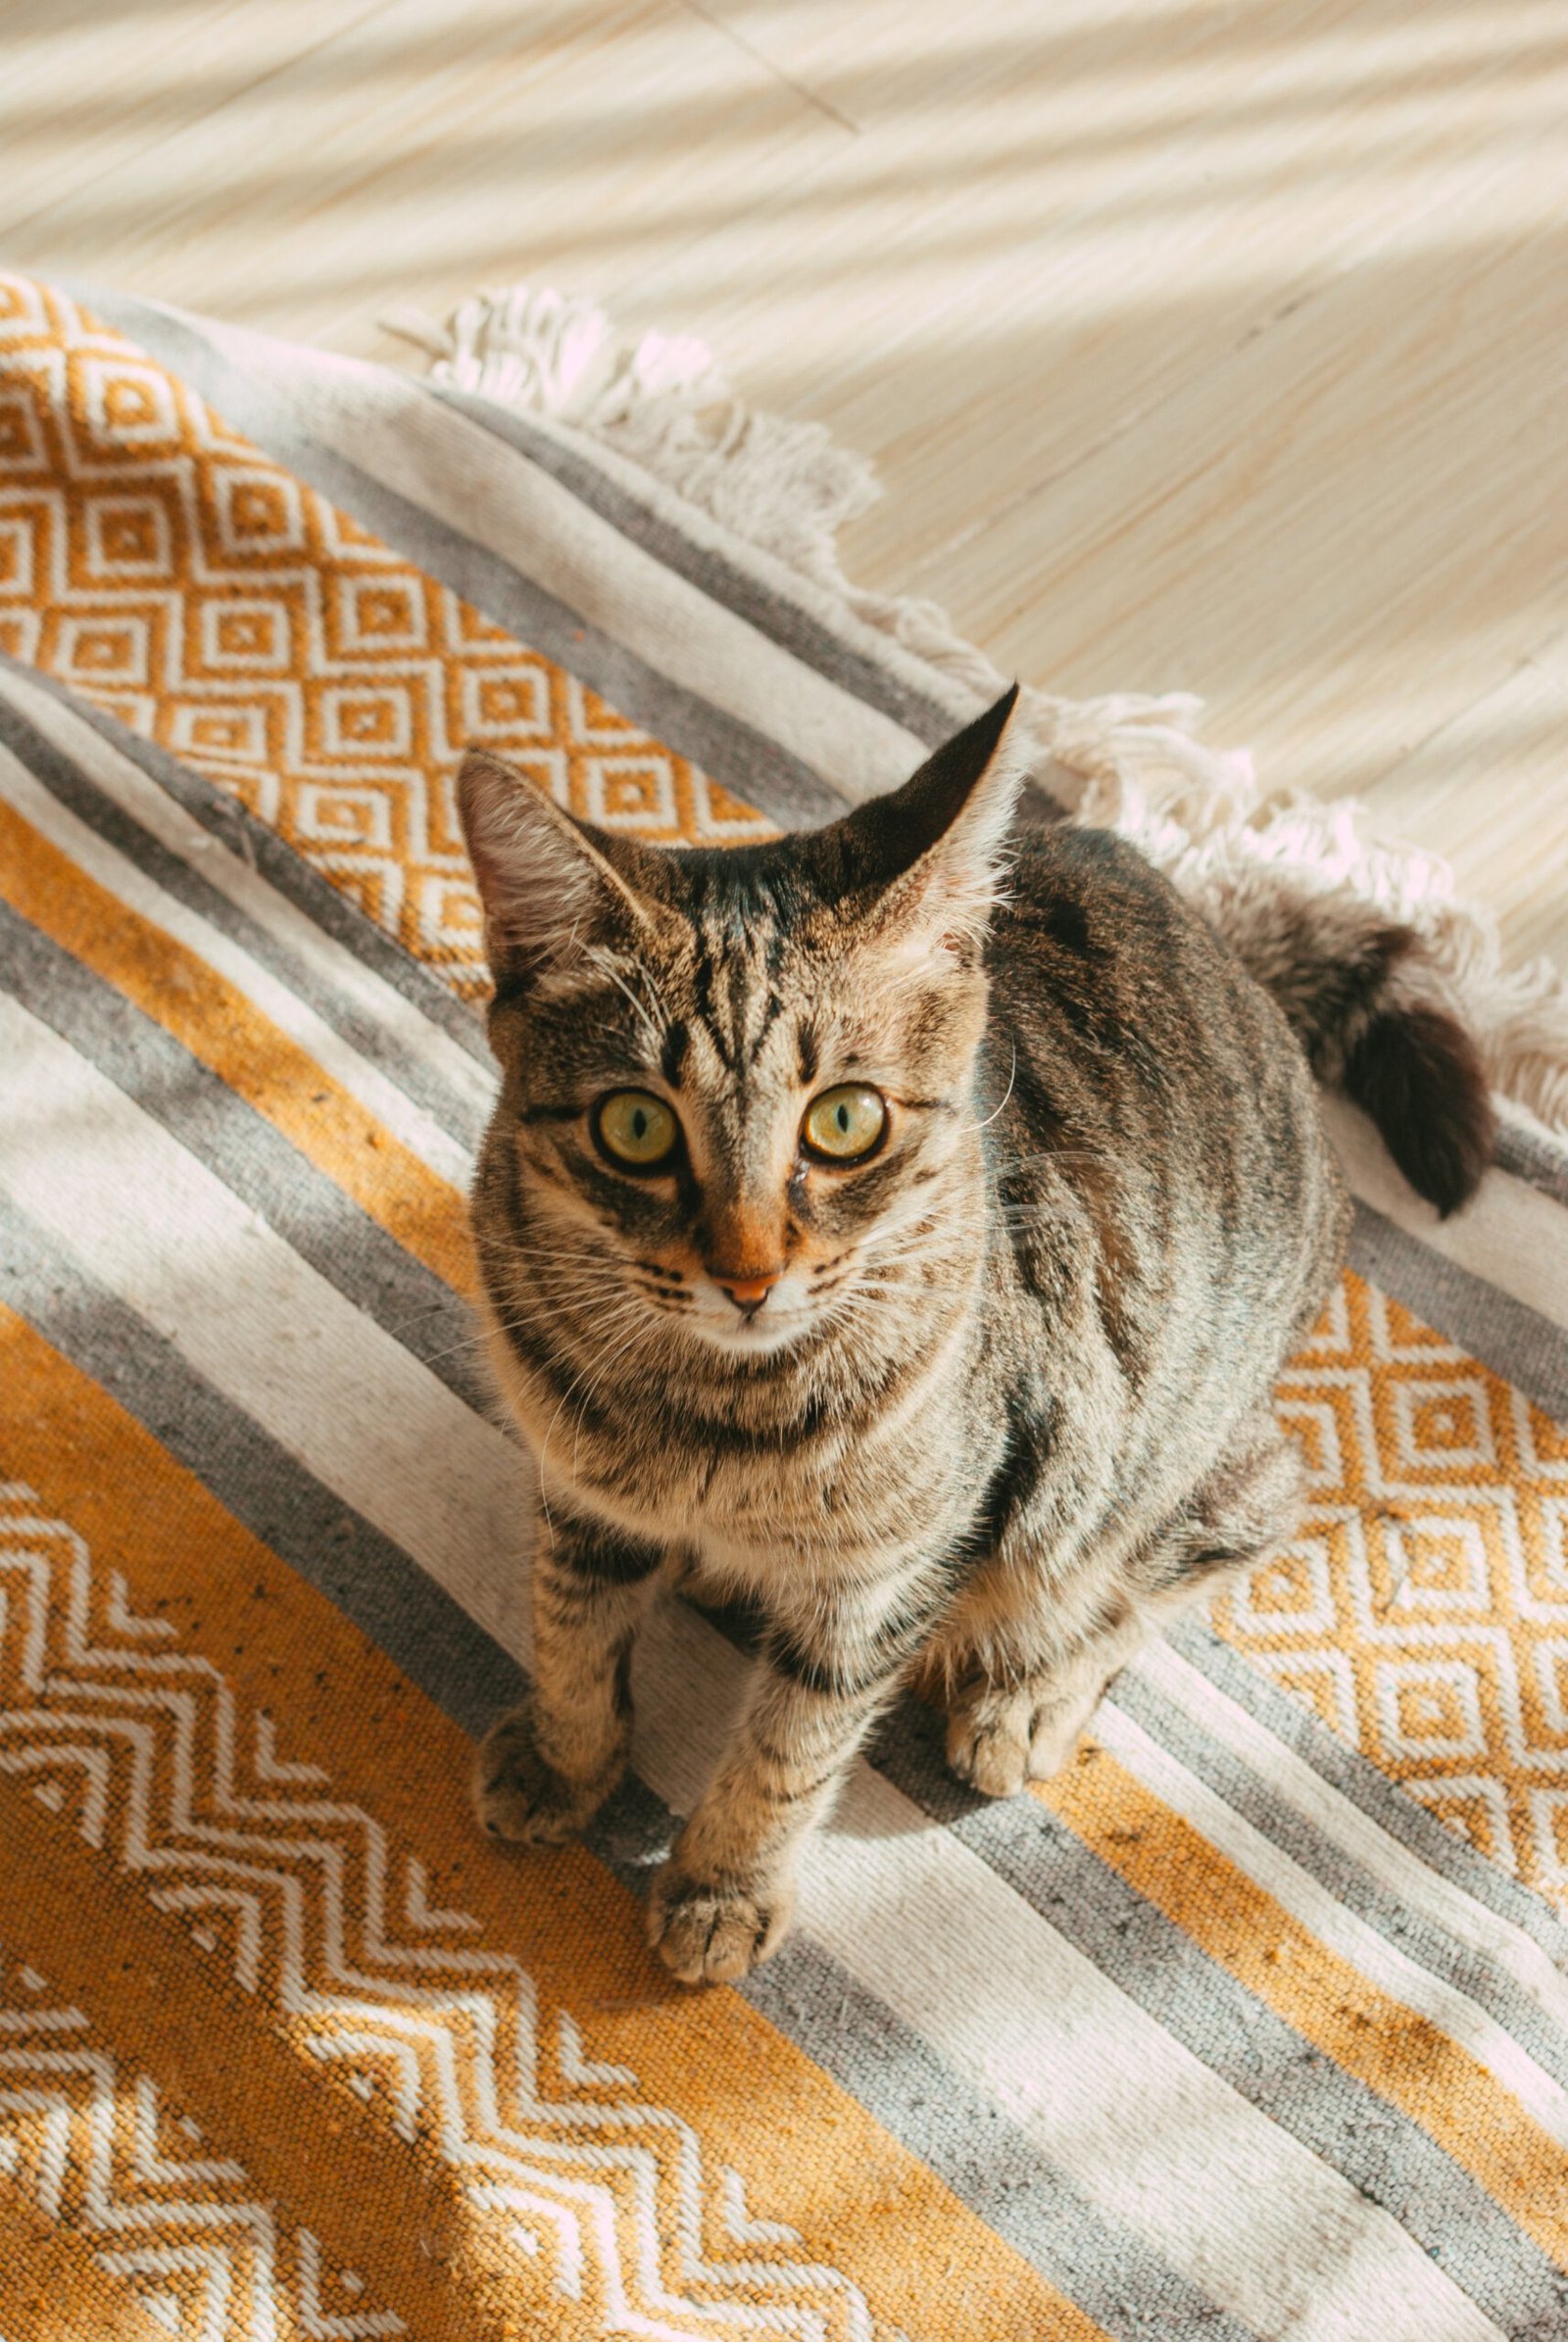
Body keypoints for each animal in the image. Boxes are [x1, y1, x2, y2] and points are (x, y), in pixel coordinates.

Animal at [454, 683, 1491, 1985]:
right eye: (635, 1126)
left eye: (845, 1119)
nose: (747, 1272)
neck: (701, 1414)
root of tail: (1211, 931)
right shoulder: (582, 1489)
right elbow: (570, 1629)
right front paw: (566, 1758)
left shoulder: (899, 1557)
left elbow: (792, 1743)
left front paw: (722, 1884)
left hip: (1153, 1462)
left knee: (1174, 1563)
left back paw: (1022, 1701)